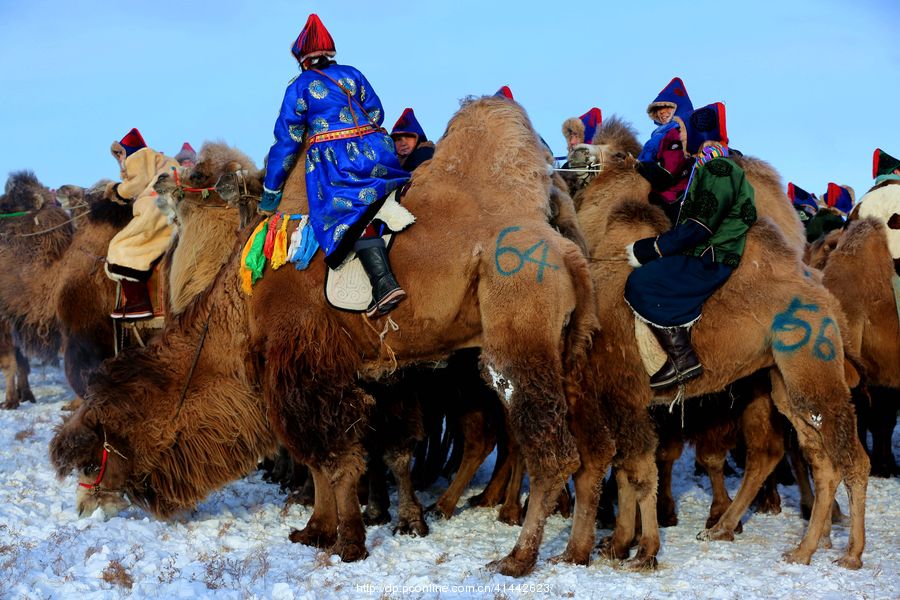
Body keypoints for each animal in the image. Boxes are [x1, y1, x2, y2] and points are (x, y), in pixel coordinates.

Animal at [49, 98, 596, 576]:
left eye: (97, 446)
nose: (81, 503)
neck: (243, 303)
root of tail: (563, 246)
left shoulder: (304, 366)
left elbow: (335, 458)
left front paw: (348, 542)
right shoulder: (346, 370)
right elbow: (330, 456)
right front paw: (316, 530)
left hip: (518, 331)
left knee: (550, 451)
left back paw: (517, 558)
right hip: (570, 350)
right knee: (581, 451)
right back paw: (568, 550)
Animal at [564, 155, 872, 568]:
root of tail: (825, 298)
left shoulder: (622, 393)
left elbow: (634, 470)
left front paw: (640, 551)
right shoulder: (618, 399)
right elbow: (626, 470)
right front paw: (616, 544)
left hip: (813, 368)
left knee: (850, 457)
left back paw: (850, 553)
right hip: (785, 380)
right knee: (820, 460)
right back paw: (797, 548)